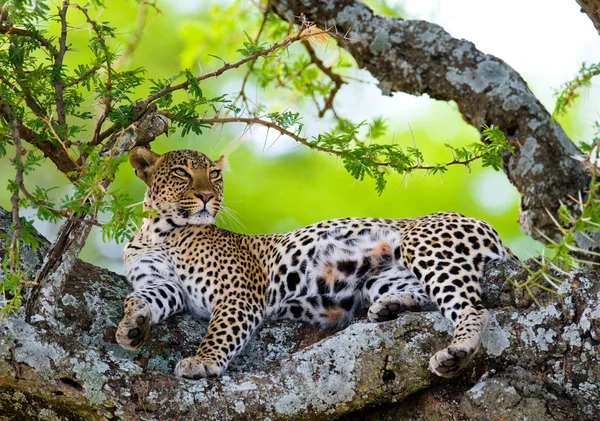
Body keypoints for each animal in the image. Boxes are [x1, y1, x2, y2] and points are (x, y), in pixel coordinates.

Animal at [116, 147, 516, 378]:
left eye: (214, 176)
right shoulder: (164, 285)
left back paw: (456, 352)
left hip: (425, 245)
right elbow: (139, 298)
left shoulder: (237, 295)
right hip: (380, 276)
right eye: (181, 173)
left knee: (473, 307)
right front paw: (131, 327)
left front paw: (203, 361)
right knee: (426, 295)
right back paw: (389, 307)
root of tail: (487, 225)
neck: (160, 232)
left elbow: (221, 331)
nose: (205, 196)